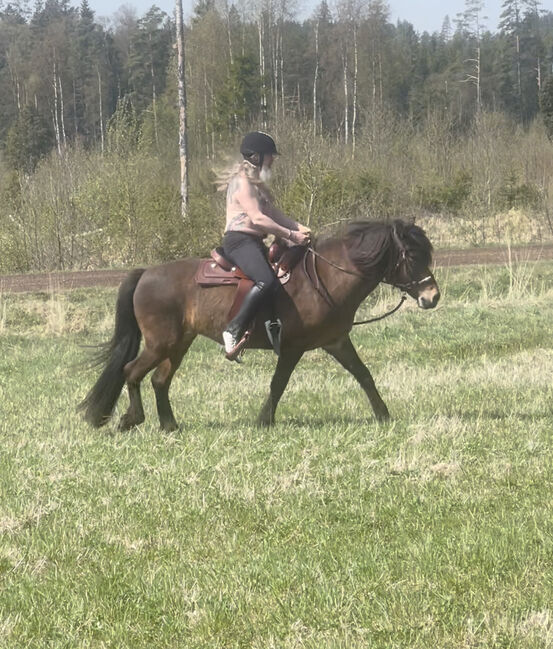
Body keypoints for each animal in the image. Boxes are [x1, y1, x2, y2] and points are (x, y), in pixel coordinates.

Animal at [78, 219, 440, 430]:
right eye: (410, 255)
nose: (432, 296)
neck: (324, 278)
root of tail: (146, 274)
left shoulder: (336, 341)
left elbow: (364, 375)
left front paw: (384, 415)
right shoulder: (293, 347)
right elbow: (278, 384)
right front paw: (264, 420)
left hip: (178, 344)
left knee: (159, 380)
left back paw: (169, 425)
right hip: (160, 343)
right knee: (132, 372)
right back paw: (130, 419)